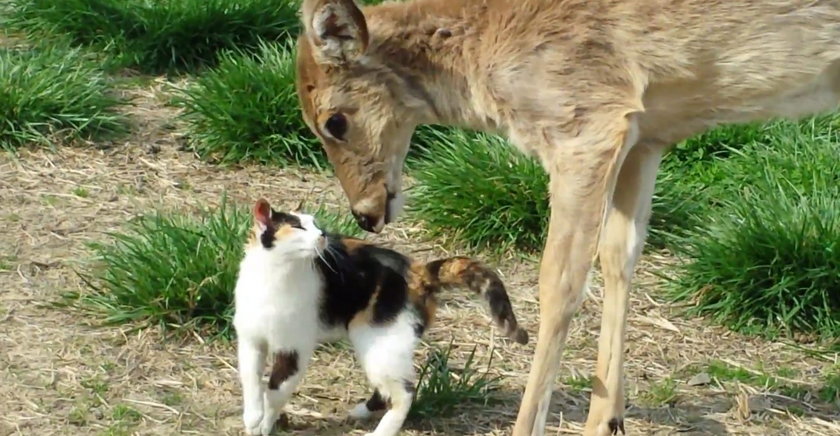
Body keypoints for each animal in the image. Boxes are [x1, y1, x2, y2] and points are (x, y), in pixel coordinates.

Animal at [233, 198, 528, 436]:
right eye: (298, 227)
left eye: (315, 224)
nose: (324, 234)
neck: (273, 276)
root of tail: (418, 271)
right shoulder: (250, 340)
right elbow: (251, 381)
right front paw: (253, 418)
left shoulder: (293, 349)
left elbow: (275, 392)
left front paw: (263, 425)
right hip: (379, 347)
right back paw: (361, 412)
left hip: (379, 342)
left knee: (405, 393)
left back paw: (380, 431)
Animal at [290, 0, 840, 434]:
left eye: (334, 121)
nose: (365, 213)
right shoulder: (646, 136)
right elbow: (619, 256)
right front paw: (607, 420)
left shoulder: (583, 126)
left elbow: (560, 284)